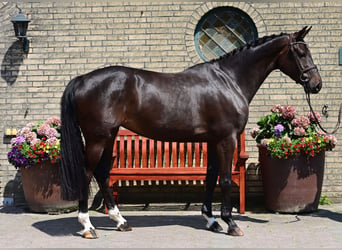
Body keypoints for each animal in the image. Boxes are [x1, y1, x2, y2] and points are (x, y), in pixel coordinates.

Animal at [59, 26, 324, 239]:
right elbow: (224, 180)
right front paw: (231, 223)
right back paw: (88, 226)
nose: (316, 84)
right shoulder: (227, 139)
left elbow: (210, 178)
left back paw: (120, 221)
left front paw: (212, 220)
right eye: (301, 53)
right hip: (97, 138)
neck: (229, 80)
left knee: (102, 173)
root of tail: (82, 79)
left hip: (110, 136)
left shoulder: (213, 141)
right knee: (87, 173)